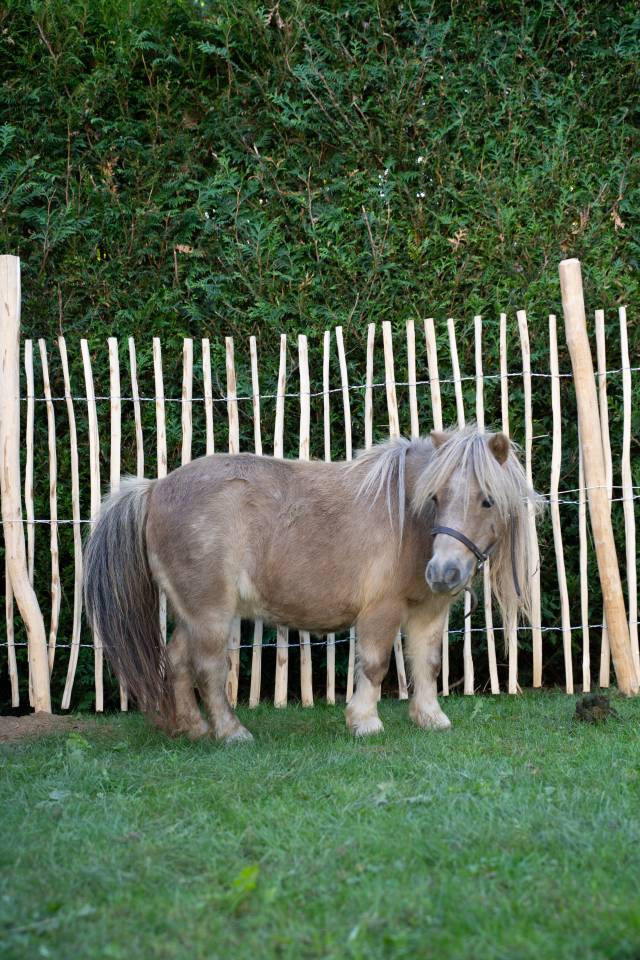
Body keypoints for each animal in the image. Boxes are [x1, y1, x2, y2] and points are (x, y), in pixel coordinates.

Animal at [83, 425, 540, 741]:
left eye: (487, 500)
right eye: (437, 497)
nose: (443, 572)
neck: (408, 521)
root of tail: (153, 488)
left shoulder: (428, 611)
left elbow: (426, 663)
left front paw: (431, 718)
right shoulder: (382, 610)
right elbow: (374, 664)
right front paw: (364, 722)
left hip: (191, 615)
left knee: (178, 663)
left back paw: (193, 729)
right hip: (211, 615)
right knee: (209, 669)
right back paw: (232, 732)